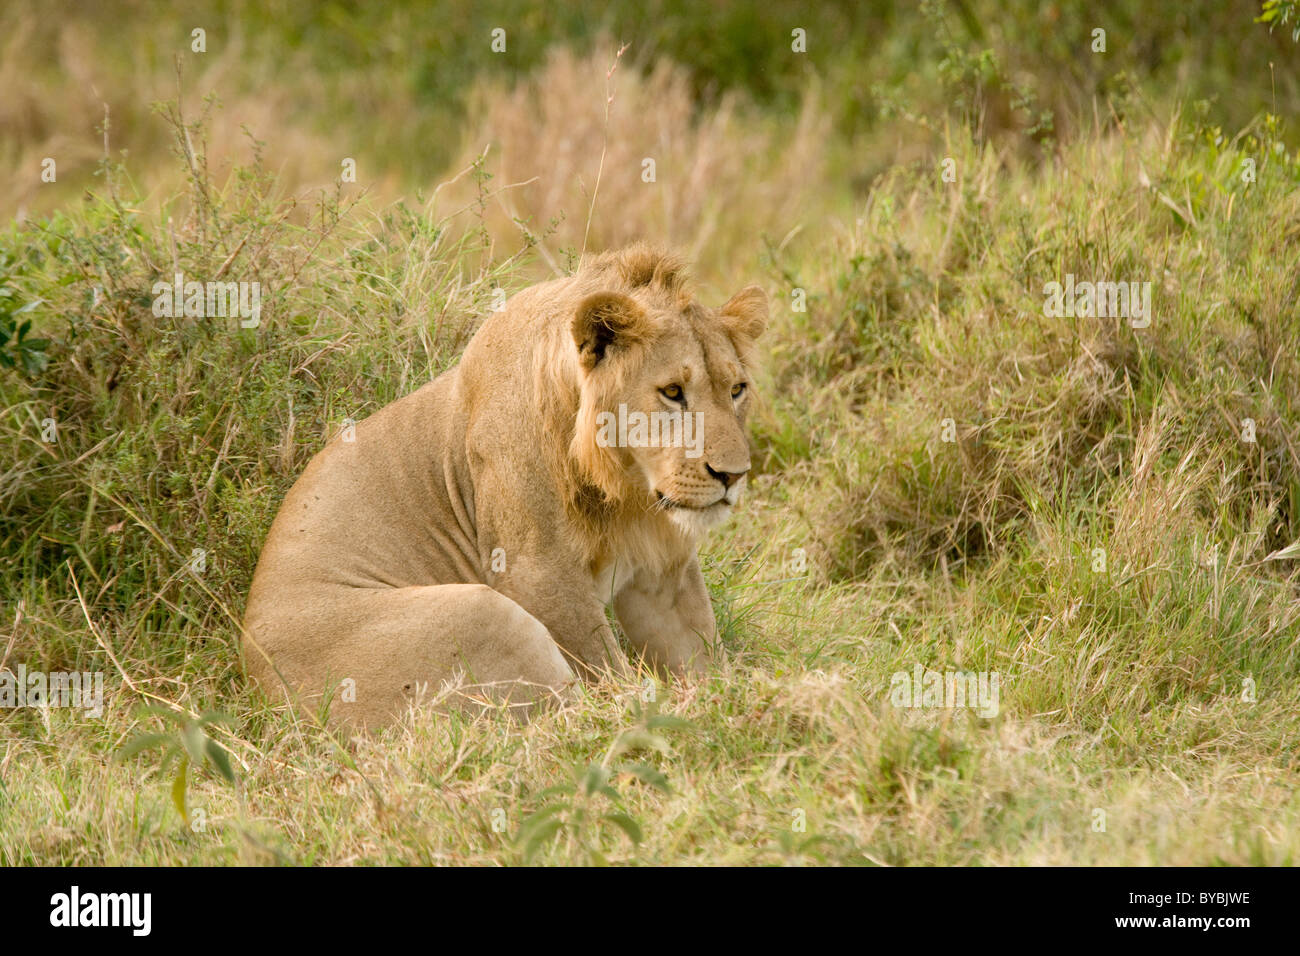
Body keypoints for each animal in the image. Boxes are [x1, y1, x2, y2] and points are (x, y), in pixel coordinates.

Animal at [242, 244, 767, 729]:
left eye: (736, 390)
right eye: (672, 393)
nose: (733, 475)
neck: (626, 487)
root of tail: (268, 703)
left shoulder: (663, 570)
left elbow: (699, 650)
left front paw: (724, 697)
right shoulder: (536, 570)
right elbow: (603, 667)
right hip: (482, 613)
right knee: (584, 711)